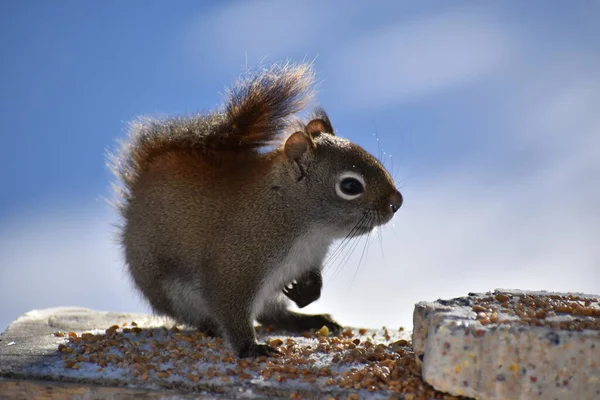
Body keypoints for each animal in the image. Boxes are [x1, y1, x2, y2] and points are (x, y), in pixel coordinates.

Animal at [111, 63, 404, 360]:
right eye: (350, 186)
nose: (397, 202)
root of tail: (140, 187)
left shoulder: (309, 257)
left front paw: (307, 290)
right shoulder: (235, 266)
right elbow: (231, 308)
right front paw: (249, 347)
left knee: (271, 314)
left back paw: (308, 320)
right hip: (173, 291)